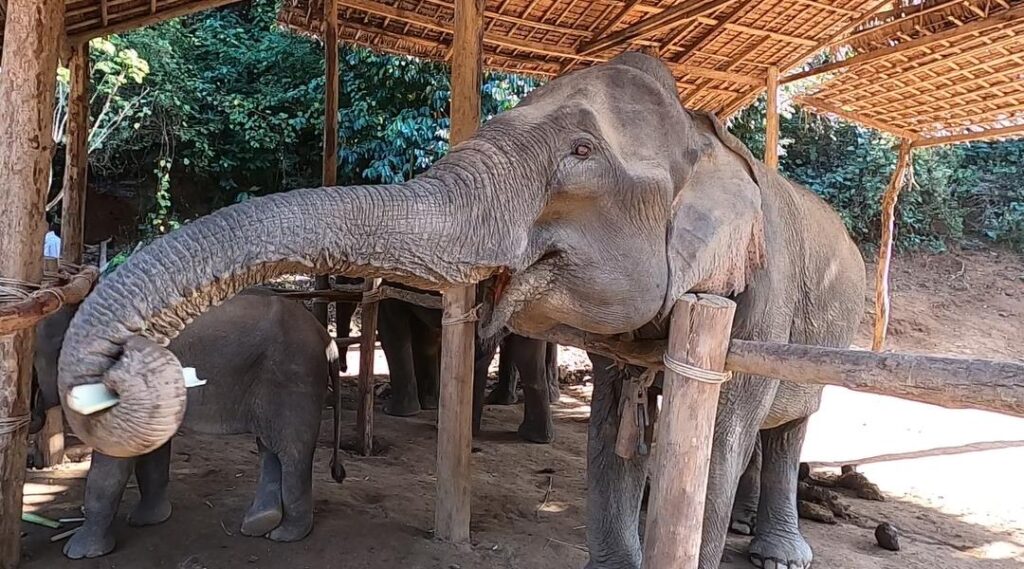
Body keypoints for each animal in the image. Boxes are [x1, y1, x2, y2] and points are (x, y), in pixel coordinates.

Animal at [34, 292, 344, 559]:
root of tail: (325, 338)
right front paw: (147, 521)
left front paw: (78, 553)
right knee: (271, 448)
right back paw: (260, 524)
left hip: (294, 375)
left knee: (292, 453)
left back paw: (286, 536)